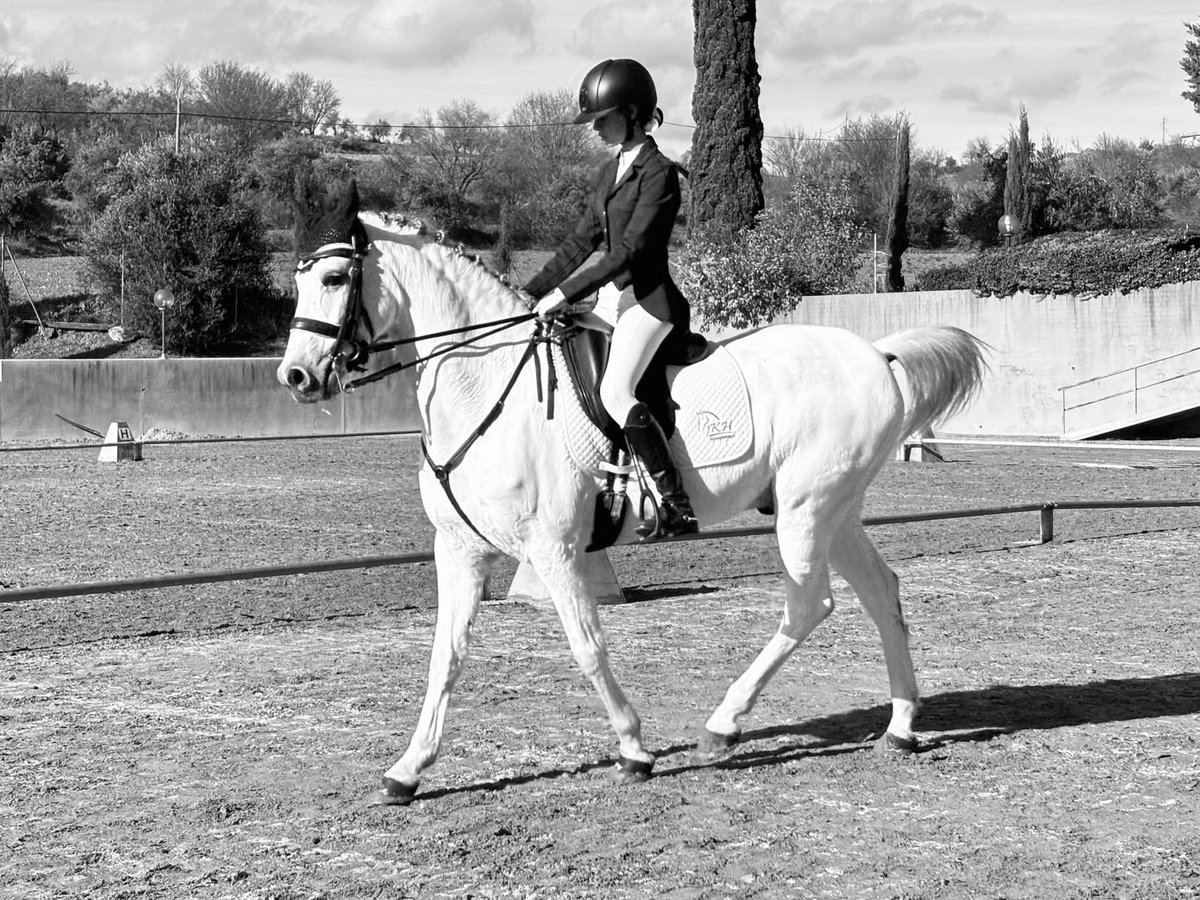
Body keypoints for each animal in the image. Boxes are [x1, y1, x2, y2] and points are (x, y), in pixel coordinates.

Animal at [278, 187, 984, 806]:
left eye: (336, 279)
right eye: (299, 280)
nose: (296, 377)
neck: (485, 385)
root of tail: (876, 354)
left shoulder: (555, 549)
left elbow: (588, 647)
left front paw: (634, 750)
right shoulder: (458, 549)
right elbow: (444, 658)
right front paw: (407, 770)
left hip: (806, 511)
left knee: (811, 605)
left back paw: (723, 727)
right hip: (835, 510)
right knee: (881, 591)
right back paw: (900, 728)